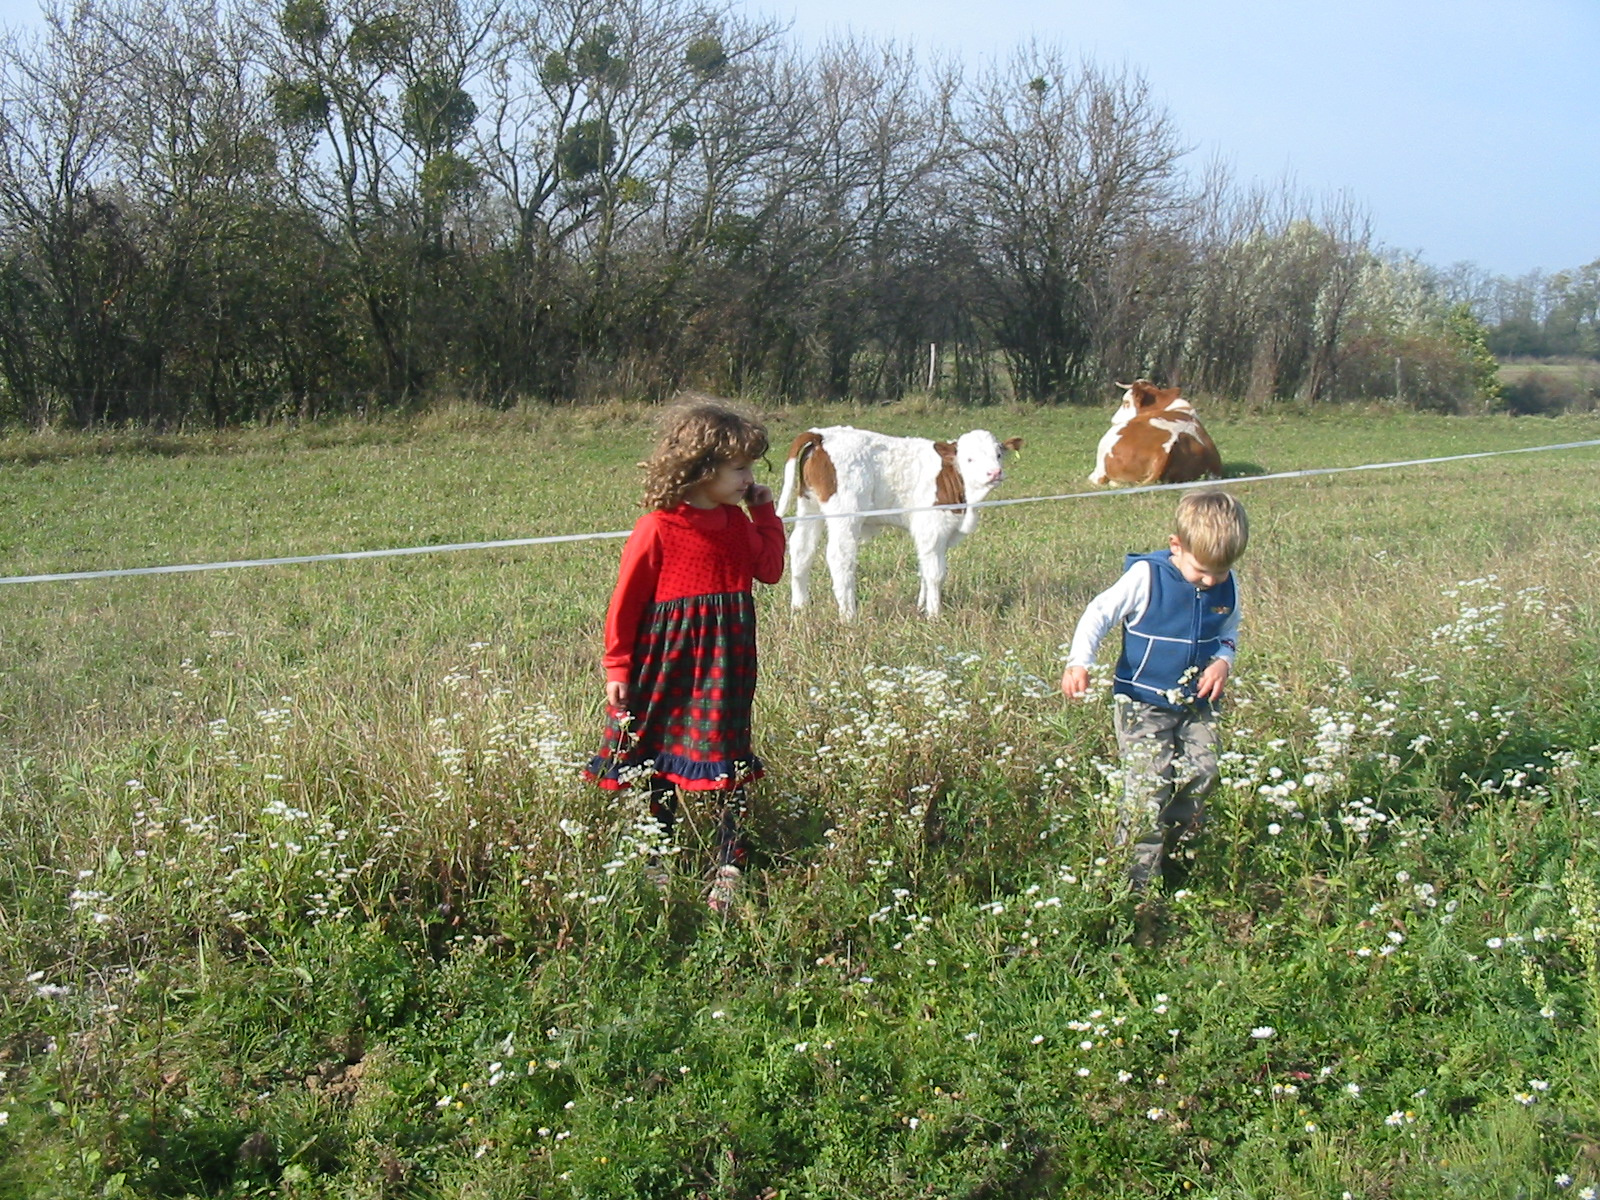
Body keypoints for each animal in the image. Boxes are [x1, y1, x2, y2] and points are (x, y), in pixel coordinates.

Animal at [777, 425, 1024, 620]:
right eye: (969, 458)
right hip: (845, 514)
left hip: (809, 506)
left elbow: (924, 569)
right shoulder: (932, 528)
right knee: (840, 558)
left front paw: (922, 607)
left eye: (998, 454)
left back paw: (799, 607)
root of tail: (822, 434)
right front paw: (934, 614)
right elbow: (935, 573)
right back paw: (848, 615)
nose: (994, 473)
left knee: (802, 550)